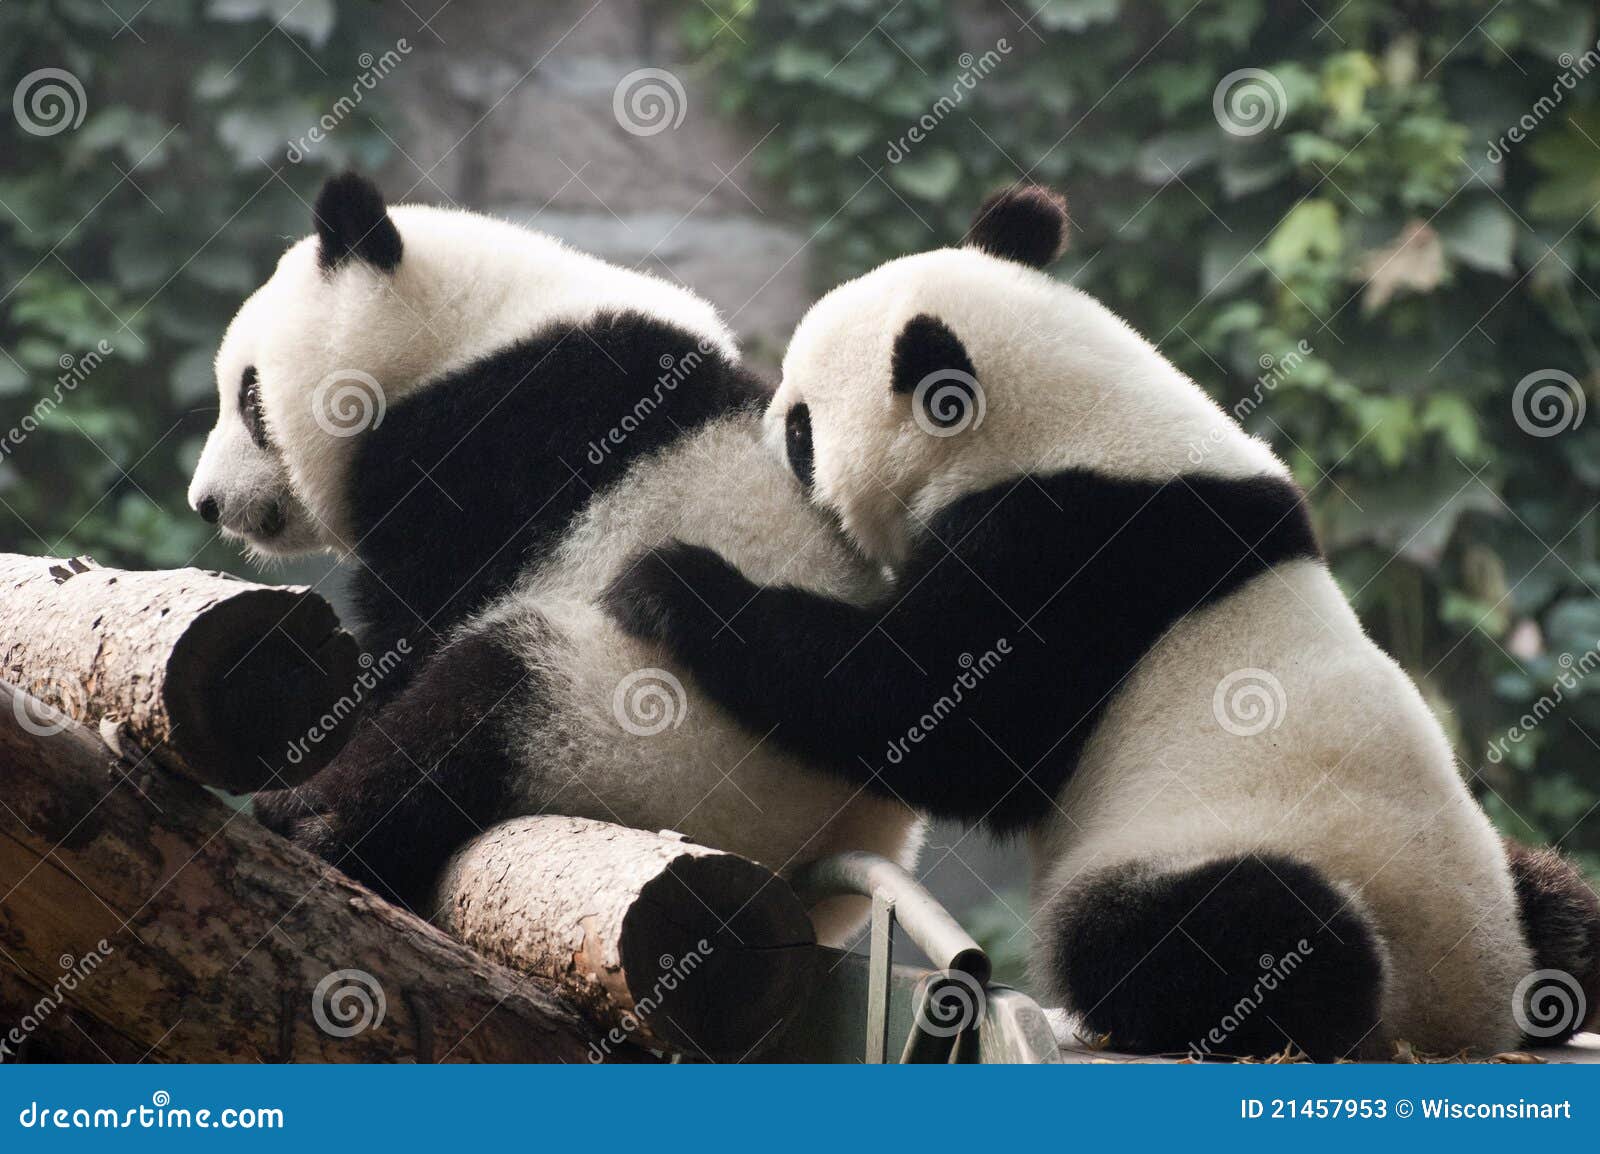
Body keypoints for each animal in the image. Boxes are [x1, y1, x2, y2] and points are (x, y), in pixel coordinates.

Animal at [184, 173, 928, 947]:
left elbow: (419, 629)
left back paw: (324, 819)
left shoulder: (490, 449)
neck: (462, 334)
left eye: (249, 397)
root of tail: (808, 882)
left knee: (484, 702)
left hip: (661, 745)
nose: (205, 502)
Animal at [604, 184, 1600, 1056]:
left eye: (804, 428)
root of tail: (1469, 1006)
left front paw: (673, 585)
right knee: (1563, 901)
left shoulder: (1075, 550)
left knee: (1224, 930)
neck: (1078, 417)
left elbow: (942, 714)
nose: (769, 437)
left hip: (1213, 846)